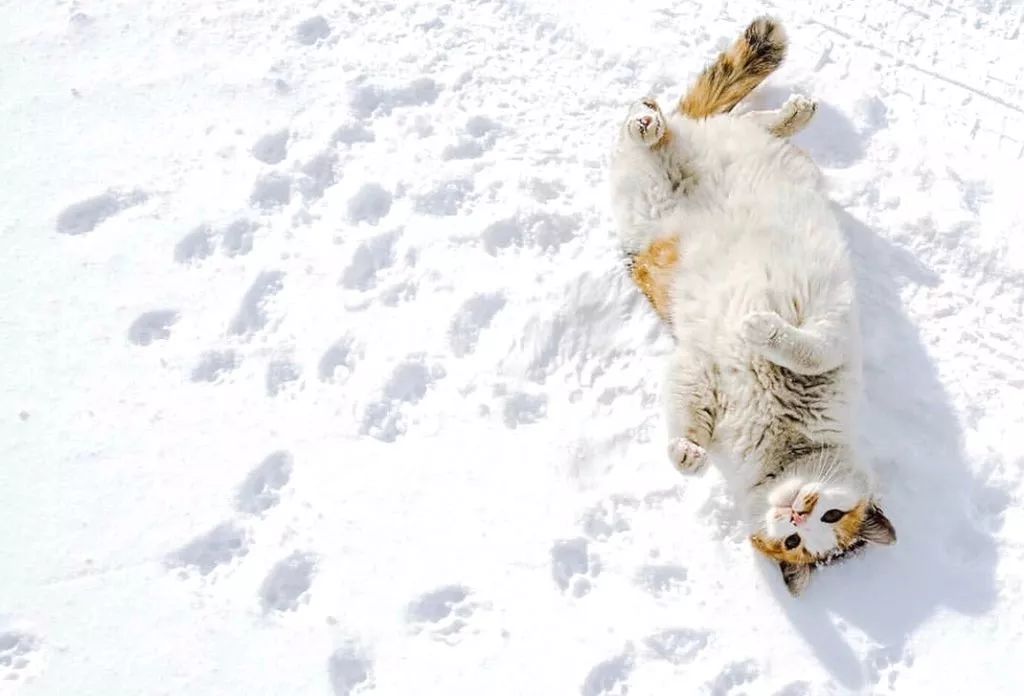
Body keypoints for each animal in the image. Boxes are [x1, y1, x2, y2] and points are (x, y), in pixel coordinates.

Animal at [606, 16, 897, 593]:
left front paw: (687, 455)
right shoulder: (832, 335)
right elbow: (807, 347)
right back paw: (657, 120)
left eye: (800, 541)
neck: (786, 441)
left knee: (722, 121)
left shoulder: (700, 369)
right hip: (668, 178)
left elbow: (687, 410)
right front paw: (762, 329)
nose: (796, 512)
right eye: (826, 517)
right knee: (691, 123)